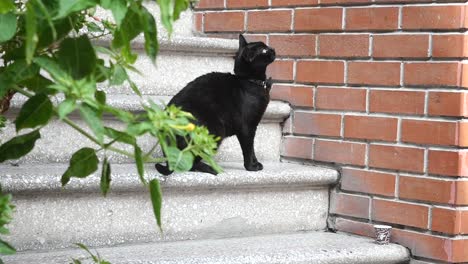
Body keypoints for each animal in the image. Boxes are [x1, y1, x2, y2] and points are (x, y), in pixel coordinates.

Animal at [155, 34, 276, 175]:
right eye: (264, 50)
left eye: (267, 47)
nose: (273, 49)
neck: (250, 81)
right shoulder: (247, 127)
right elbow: (248, 148)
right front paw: (251, 167)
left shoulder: (252, 126)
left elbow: (252, 149)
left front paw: (256, 163)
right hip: (217, 130)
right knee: (188, 162)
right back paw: (212, 168)